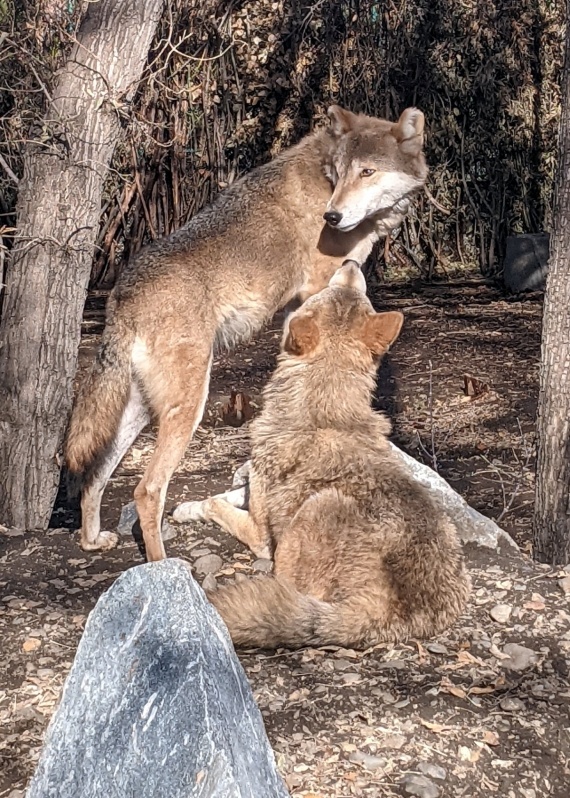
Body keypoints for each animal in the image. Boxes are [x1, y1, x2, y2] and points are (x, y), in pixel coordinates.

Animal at [64, 106, 424, 564]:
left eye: (367, 171)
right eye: (341, 172)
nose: (332, 216)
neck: (324, 179)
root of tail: (121, 298)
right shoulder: (317, 288)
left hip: (141, 411)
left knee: (94, 477)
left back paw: (93, 540)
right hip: (188, 408)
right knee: (147, 490)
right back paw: (163, 567)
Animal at [175, 266, 468, 652]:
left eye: (323, 293)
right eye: (353, 292)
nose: (350, 264)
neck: (323, 411)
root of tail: (396, 615)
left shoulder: (259, 530)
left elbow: (215, 503)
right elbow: (226, 494)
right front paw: (186, 507)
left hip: (315, 507)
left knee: (285, 583)